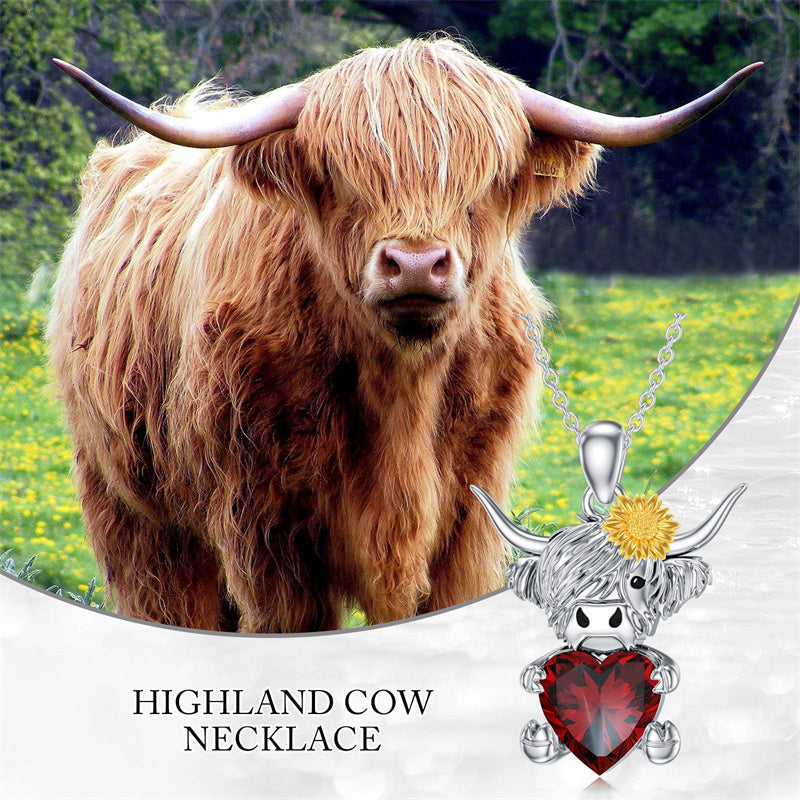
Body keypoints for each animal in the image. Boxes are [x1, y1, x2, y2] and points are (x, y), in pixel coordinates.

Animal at [49, 37, 760, 632]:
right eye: (343, 177)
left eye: (483, 179)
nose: (416, 264)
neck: (401, 397)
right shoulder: (266, 532)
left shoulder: (465, 523)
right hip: (135, 515)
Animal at [471, 482, 746, 770]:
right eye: (559, 586)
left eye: (637, 581)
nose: (598, 616)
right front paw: (532, 675)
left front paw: (663, 676)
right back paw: (540, 738)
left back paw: (659, 739)